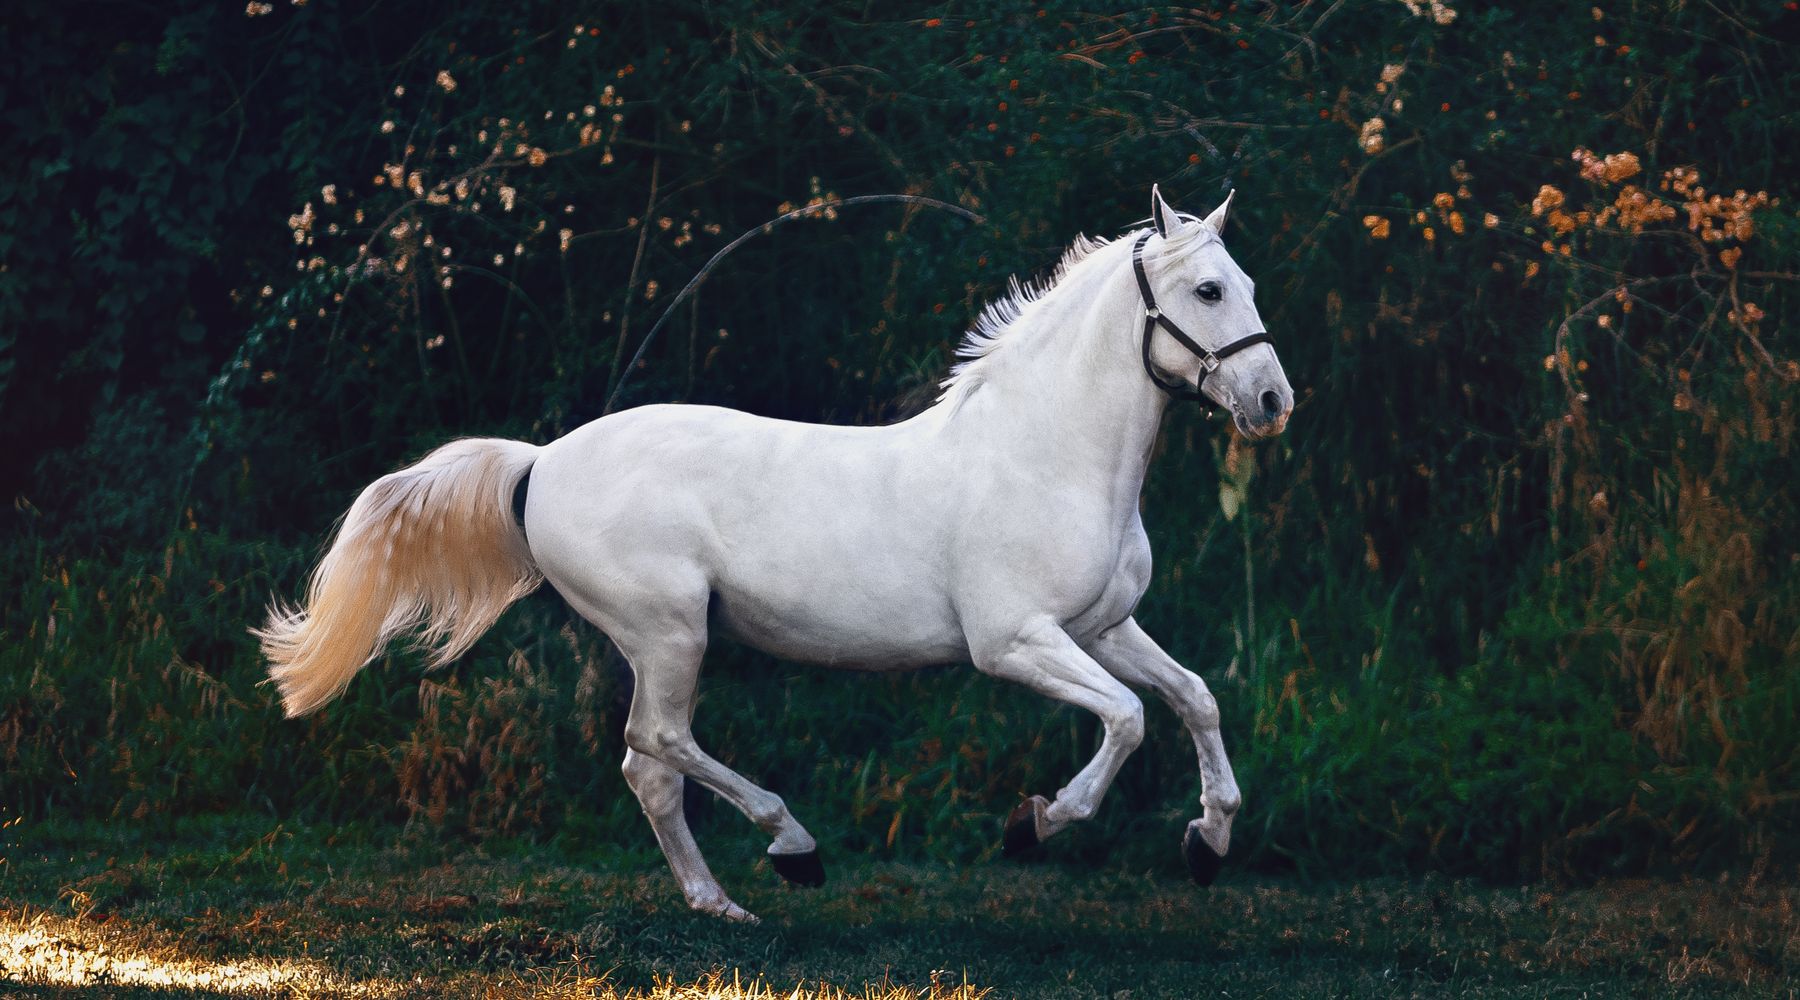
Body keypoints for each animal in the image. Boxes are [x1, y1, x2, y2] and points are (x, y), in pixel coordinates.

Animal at [257, 186, 1293, 922]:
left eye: (1248, 286)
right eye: (1208, 290)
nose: (1273, 401)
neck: (1045, 455)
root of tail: (541, 461)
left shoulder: (1104, 627)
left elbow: (1193, 698)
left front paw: (1208, 842)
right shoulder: (1015, 643)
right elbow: (1127, 719)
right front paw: (1034, 824)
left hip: (665, 641)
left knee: (648, 769)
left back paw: (720, 903)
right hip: (669, 632)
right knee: (658, 745)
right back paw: (791, 848)